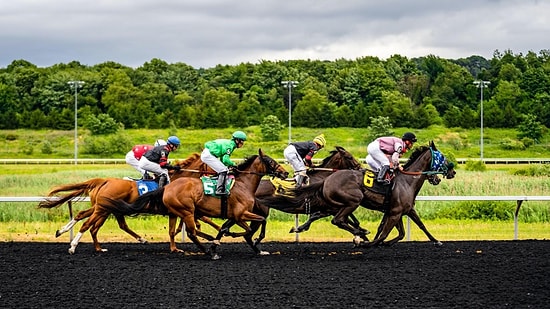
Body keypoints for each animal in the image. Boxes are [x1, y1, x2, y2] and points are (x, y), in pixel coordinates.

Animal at [37, 152, 220, 253]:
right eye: (212, 162)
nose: (222, 171)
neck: (178, 179)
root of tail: (103, 180)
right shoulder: (181, 210)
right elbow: (202, 220)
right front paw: (216, 234)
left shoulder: (177, 211)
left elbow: (174, 230)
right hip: (102, 209)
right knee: (88, 224)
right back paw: (73, 245)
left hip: (103, 208)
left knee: (87, 219)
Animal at [105, 148, 292, 258]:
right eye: (270, 161)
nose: (285, 173)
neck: (243, 184)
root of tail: (167, 187)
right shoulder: (240, 214)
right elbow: (255, 225)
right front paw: (244, 239)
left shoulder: (233, 216)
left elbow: (225, 228)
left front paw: (257, 248)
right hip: (187, 211)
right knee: (192, 232)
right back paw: (207, 249)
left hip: (183, 212)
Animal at [258, 141, 458, 245]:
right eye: (442, 157)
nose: (452, 171)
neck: (407, 181)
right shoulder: (396, 210)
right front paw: (365, 236)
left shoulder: (400, 210)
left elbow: (415, 227)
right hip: (354, 199)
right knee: (338, 220)